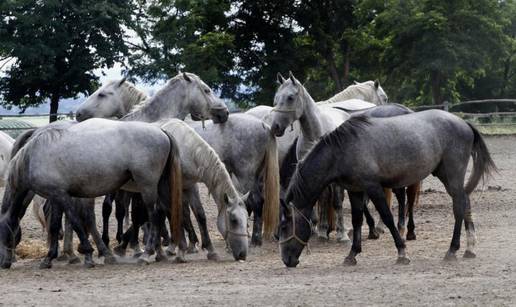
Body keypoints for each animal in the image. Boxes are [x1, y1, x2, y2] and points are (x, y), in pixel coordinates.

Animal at [278, 110, 496, 268]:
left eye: (284, 227)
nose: (287, 261)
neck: (342, 149)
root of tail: (464, 124)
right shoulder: (355, 191)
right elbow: (357, 221)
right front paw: (352, 255)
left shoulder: (373, 187)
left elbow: (387, 217)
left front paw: (402, 253)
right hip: (447, 177)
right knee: (465, 202)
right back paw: (470, 249)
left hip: (452, 176)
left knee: (458, 207)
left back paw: (452, 250)